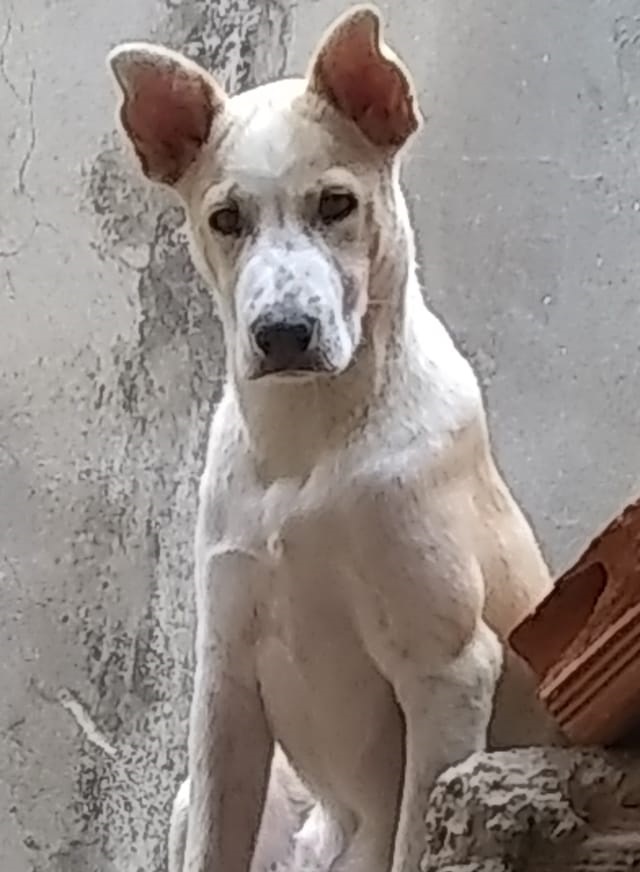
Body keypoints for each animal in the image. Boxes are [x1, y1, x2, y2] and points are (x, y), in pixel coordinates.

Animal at [107, 8, 552, 872]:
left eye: (337, 204)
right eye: (226, 219)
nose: (284, 333)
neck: (307, 444)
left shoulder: (448, 672)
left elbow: (416, 842)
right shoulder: (226, 686)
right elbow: (215, 843)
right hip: (204, 797)